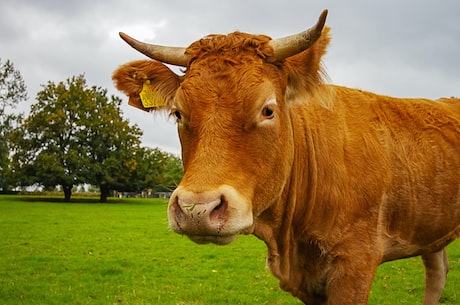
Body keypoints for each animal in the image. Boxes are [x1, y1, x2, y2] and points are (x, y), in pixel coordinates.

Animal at [112, 10, 460, 304]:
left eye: (268, 110)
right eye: (178, 113)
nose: (197, 210)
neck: (290, 239)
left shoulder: (356, 263)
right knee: (437, 271)